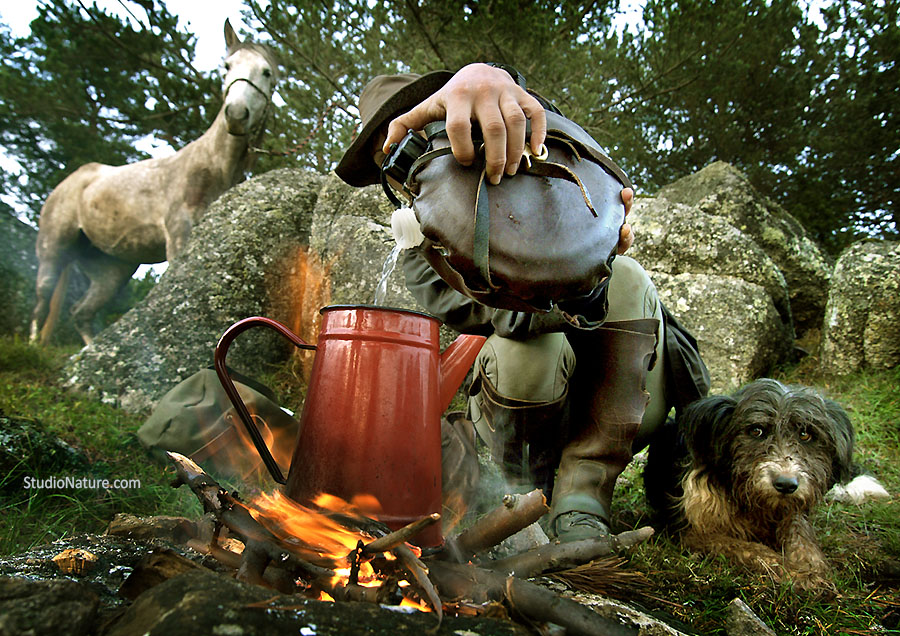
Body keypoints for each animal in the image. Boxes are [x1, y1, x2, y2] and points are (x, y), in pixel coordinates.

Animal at [30, 21, 278, 348]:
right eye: (227, 66)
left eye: (266, 72)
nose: (236, 114)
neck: (214, 165)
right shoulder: (178, 235)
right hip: (53, 247)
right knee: (42, 299)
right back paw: (32, 345)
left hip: (112, 268)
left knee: (81, 312)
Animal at [648, 378, 884, 592]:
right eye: (756, 431)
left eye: (805, 434)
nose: (786, 485)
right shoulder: (693, 531)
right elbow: (748, 549)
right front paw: (798, 574)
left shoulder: (793, 509)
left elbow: (802, 536)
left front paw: (813, 566)